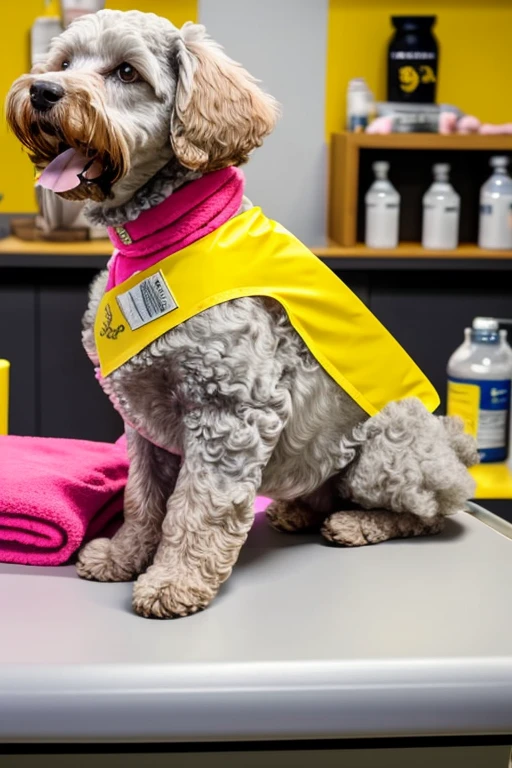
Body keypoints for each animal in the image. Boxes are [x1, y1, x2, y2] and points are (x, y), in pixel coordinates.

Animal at [6, 9, 478, 616]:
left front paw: (175, 581)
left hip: (389, 443)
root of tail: (451, 444)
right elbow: (142, 497)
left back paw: (358, 523)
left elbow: (197, 505)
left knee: (434, 509)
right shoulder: (144, 422)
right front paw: (124, 556)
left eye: (127, 72)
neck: (164, 241)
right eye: (64, 61)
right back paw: (300, 510)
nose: (42, 90)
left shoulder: (230, 410)